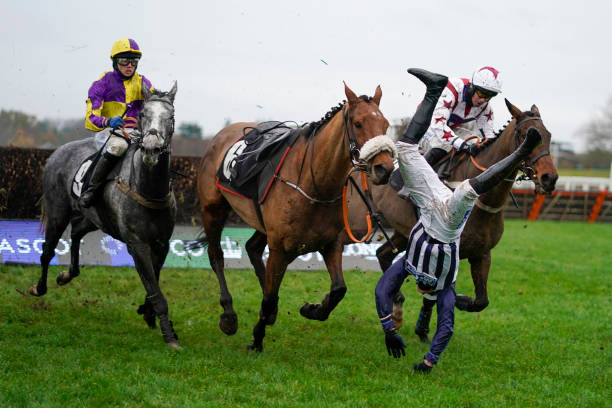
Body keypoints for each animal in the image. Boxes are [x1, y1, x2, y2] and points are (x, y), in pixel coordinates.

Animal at [29, 82, 180, 348]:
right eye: (143, 114)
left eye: (170, 117)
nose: (151, 148)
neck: (148, 191)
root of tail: (57, 152)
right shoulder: (137, 244)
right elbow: (154, 288)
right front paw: (169, 335)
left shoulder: (161, 243)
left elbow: (155, 281)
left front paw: (148, 313)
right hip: (58, 212)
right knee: (47, 251)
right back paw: (40, 287)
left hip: (95, 219)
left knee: (77, 233)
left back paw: (67, 275)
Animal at [197, 83, 396, 350]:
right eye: (358, 124)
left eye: (385, 124)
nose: (384, 169)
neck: (314, 185)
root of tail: (222, 134)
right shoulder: (280, 248)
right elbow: (269, 297)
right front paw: (256, 340)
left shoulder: (330, 243)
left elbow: (339, 289)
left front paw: (312, 308)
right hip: (213, 209)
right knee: (216, 256)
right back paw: (229, 315)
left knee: (252, 248)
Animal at [342, 99, 556, 342]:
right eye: (525, 134)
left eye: (548, 135)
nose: (549, 178)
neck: (483, 201)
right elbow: (435, 293)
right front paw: (425, 326)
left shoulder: (482, 253)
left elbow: (481, 301)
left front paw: (458, 304)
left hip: (403, 233)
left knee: (383, 253)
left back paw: (395, 305)